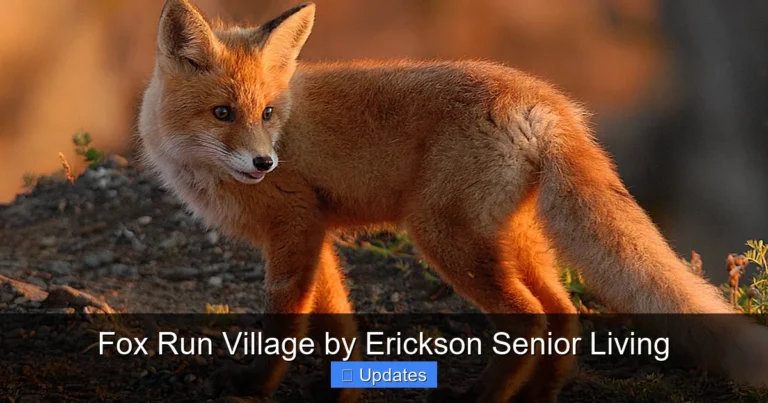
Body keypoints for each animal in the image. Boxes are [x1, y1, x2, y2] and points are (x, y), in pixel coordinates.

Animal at [137, 1, 768, 402]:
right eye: (223, 113)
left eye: (267, 113)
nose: (264, 164)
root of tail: (543, 97)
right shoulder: (316, 233)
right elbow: (338, 322)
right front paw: (343, 390)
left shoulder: (294, 227)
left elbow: (284, 325)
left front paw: (255, 387)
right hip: (510, 239)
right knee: (563, 314)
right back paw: (537, 397)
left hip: (444, 238)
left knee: (531, 319)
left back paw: (482, 398)